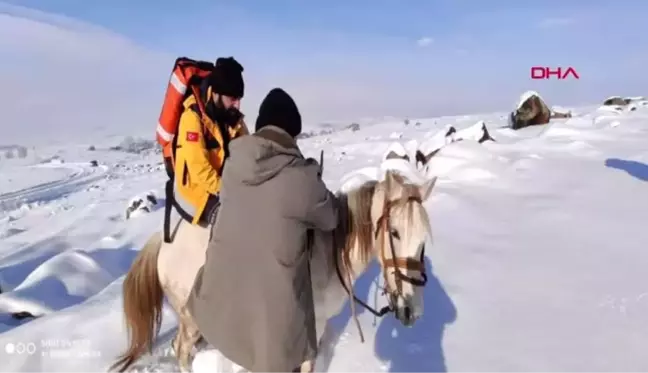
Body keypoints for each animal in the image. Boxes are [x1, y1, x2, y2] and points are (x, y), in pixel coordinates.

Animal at [111, 171, 438, 372]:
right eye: (394, 232)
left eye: (424, 239)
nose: (412, 311)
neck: (326, 254)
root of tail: (165, 239)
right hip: (188, 316)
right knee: (181, 350)